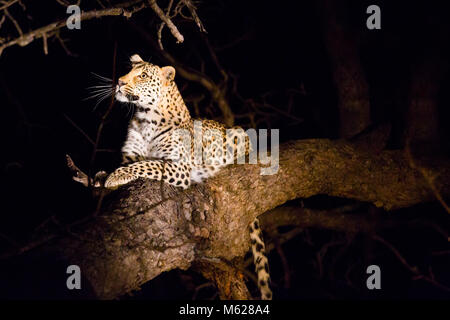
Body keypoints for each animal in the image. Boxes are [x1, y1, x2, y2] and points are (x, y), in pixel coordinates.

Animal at [103, 53, 270, 300]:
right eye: (129, 71)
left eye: (142, 75)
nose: (120, 82)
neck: (145, 119)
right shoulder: (130, 154)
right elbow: (133, 162)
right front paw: (102, 177)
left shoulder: (178, 167)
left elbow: (146, 164)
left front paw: (114, 178)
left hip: (240, 134)